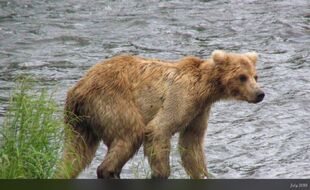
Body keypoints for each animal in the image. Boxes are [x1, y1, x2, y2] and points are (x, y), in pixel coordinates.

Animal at [55, 49, 264, 179]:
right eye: (242, 77)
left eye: (255, 76)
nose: (260, 93)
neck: (206, 89)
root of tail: (78, 87)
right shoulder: (181, 97)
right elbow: (158, 129)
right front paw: (161, 173)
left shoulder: (199, 111)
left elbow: (192, 145)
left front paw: (204, 174)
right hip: (111, 100)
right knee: (130, 133)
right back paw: (109, 171)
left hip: (80, 120)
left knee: (76, 154)